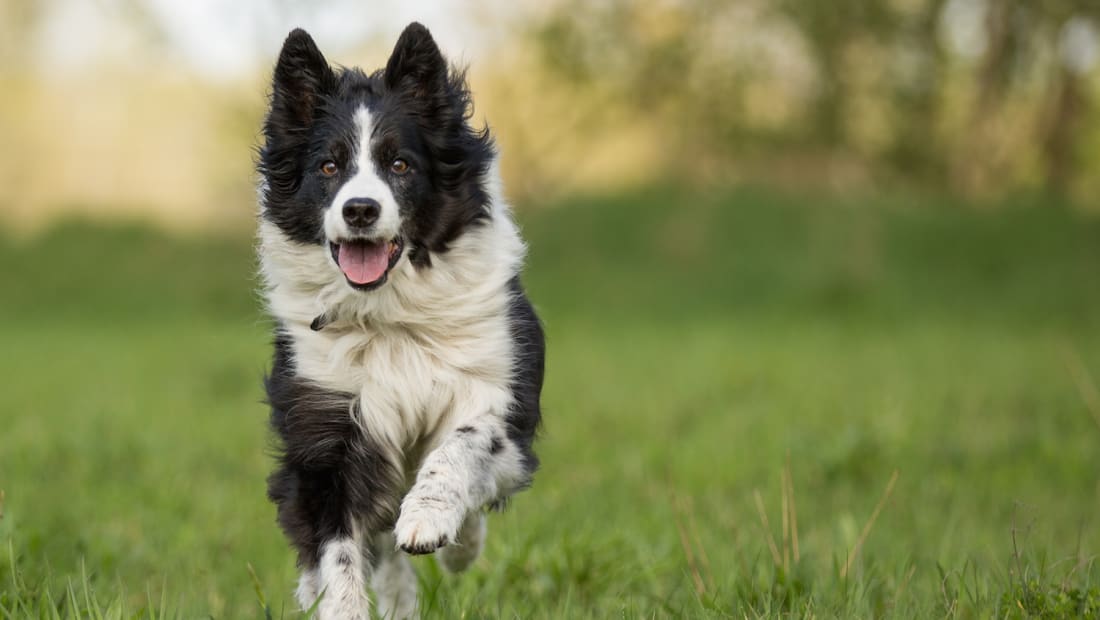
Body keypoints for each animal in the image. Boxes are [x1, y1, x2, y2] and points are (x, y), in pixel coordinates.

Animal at [258, 21, 550, 615]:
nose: (360, 210)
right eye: (328, 166)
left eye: (400, 164)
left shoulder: (500, 393)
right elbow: (338, 553)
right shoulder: (325, 428)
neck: (389, 313)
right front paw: (337, 603)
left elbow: (463, 444)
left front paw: (431, 521)